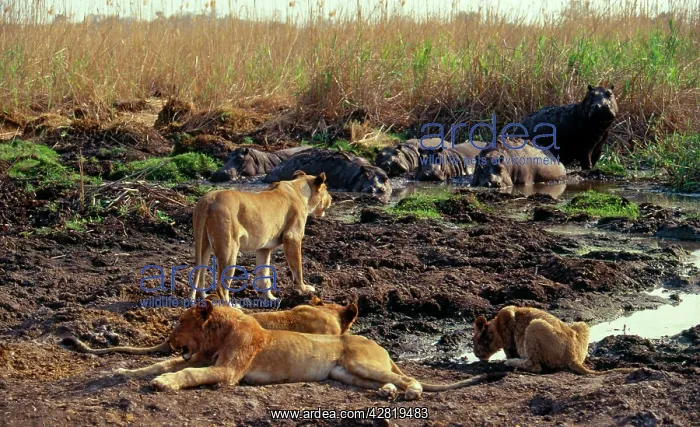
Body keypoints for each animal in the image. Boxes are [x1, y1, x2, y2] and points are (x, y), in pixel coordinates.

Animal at [113, 301, 506, 399]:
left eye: (180, 322)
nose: (171, 339)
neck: (216, 336)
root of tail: (377, 342)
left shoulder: (226, 373)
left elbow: (187, 371)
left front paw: (165, 383)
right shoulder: (201, 358)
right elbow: (157, 365)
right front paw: (122, 371)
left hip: (361, 362)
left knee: (410, 377)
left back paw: (409, 392)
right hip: (346, 373)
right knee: (385, 380)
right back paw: (388, 392)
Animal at [191, 170, 331, 304]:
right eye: (326, 188)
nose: (331, 198)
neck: (300, 188)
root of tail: (208, 199)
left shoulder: (263, 248)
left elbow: (264, 274)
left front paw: (269, 298)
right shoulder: (292, 237)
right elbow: (297, 268)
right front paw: (303, 289)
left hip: (203, 245)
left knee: (200, 273)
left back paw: (205, 297)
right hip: (229, 250)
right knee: (221, 286)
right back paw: (232, 307)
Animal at [473, 306, 637, 375]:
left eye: (474, 340)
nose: (475, 353)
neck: (495, 327)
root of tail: (572, 356)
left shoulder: (507, 328)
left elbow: (509, 349)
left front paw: (508, 358)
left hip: (534, 325)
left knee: (535, 366)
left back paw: (511, 363)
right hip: (581, 324)